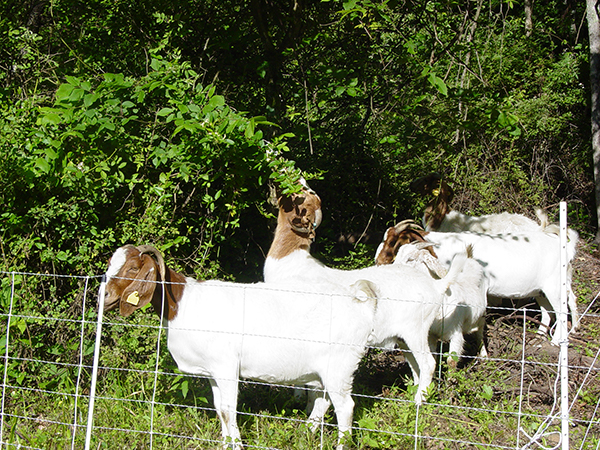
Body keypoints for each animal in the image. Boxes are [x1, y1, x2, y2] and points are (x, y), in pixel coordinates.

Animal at [264, 186, 472, 404]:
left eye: (302, 195)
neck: (291, 261)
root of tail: (436, 285)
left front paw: (299, 399)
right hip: (404, 338)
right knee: (417, 367)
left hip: (415, 331)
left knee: (428, 363)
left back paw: (418, 402)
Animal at [378, 221, 580, 344]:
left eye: (394, 242)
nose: (378, 262)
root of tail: (565, 246)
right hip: (541, 290)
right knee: (549, 311)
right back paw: (541, 338)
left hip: (555, 287)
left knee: (562, 310)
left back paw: (556, 341)